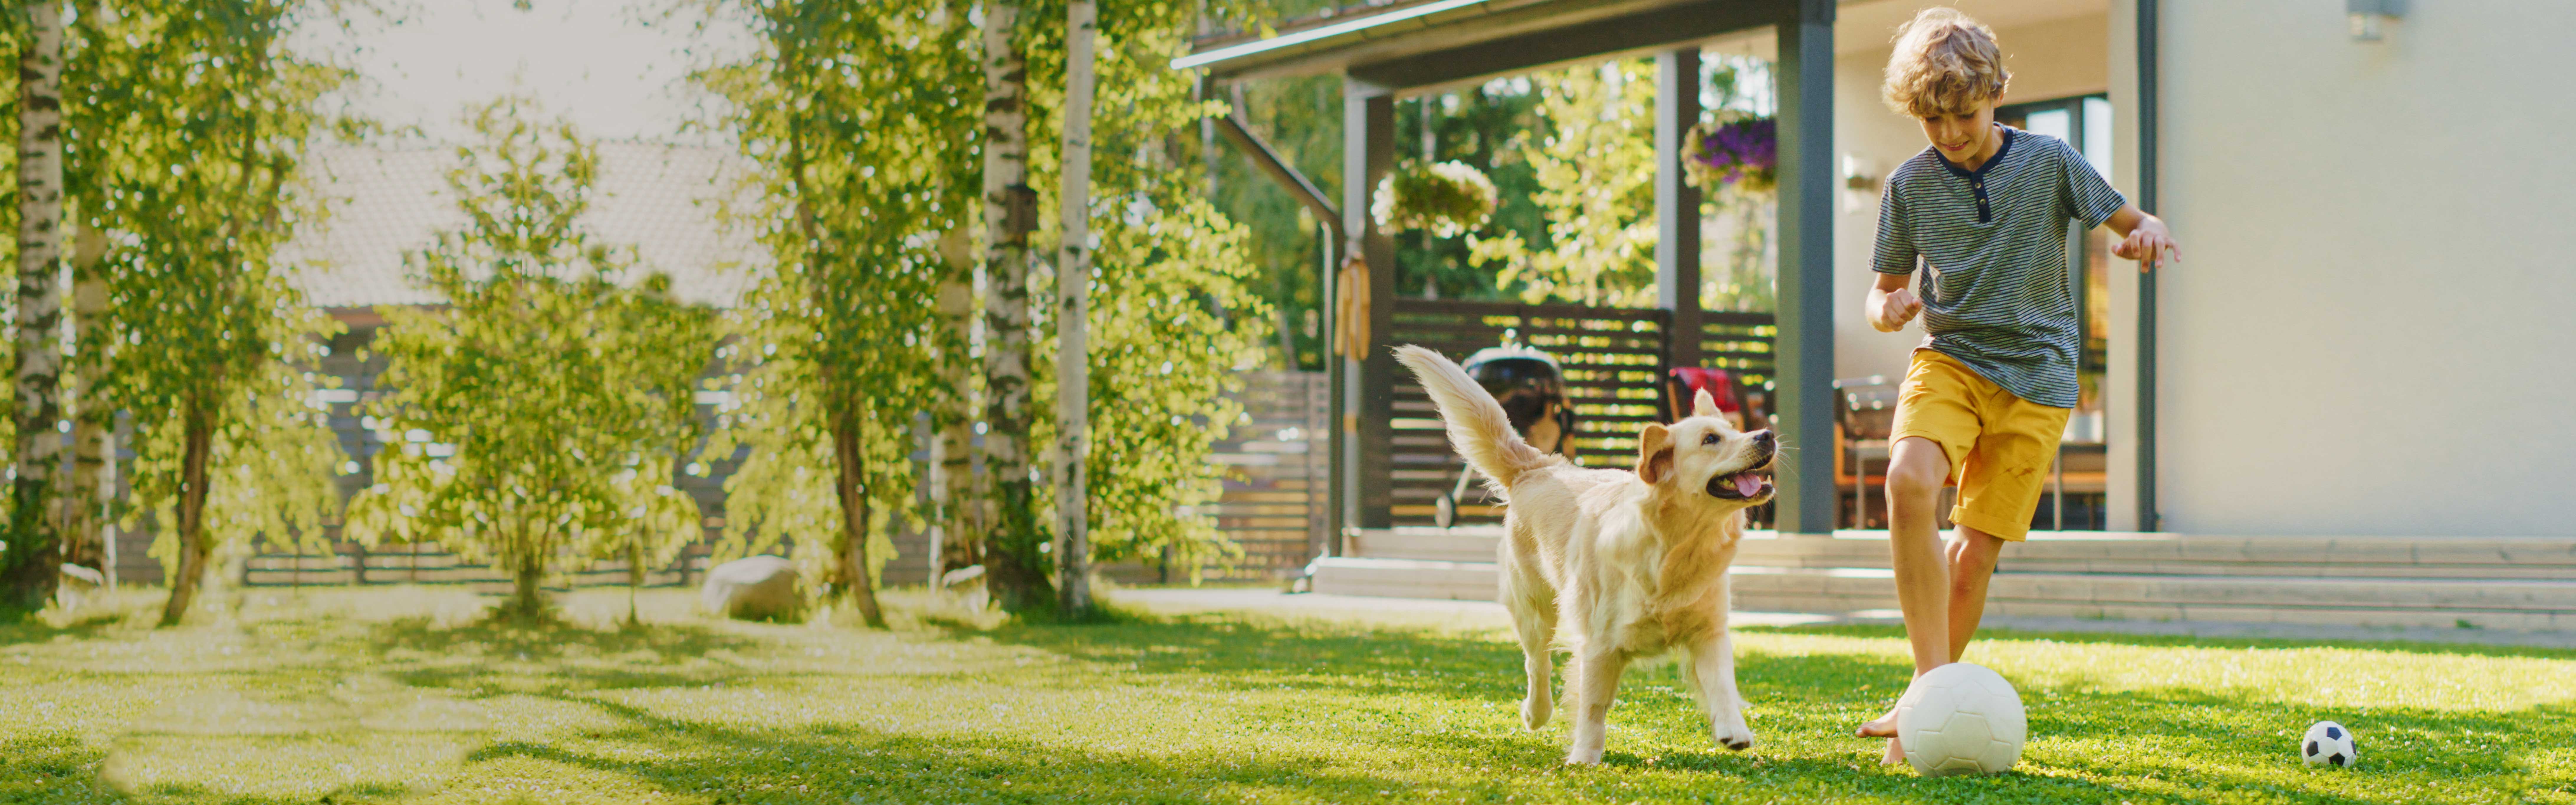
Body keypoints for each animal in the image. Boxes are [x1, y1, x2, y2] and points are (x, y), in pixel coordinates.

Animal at [1401, 343, 1782, 764]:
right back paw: (1537, 713)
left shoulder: (1709, 631)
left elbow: (1722, 685)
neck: (1675, 548)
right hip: (1534, 608)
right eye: (1711, 439)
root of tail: (1539, 467)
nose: (1767, 434)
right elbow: (1593, 707)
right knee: (1537, 662)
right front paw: (1585, 756)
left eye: (1736, 430)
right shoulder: (1600, 645)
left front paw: (1734, 730)